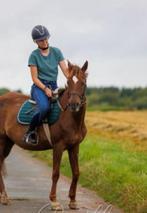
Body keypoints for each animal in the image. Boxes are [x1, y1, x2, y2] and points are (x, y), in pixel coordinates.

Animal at [0, 60, 88, 211]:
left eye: (83, 82)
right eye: (69, 82)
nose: (73, 105)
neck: (69, 117)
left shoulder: (74, 147)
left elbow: (76, 172)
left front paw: (73, 201)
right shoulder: (58, 147)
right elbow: (55, 173)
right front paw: (54, 202)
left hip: (8, 142)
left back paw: (3, 196)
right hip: (0, 141)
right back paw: (4, 197)